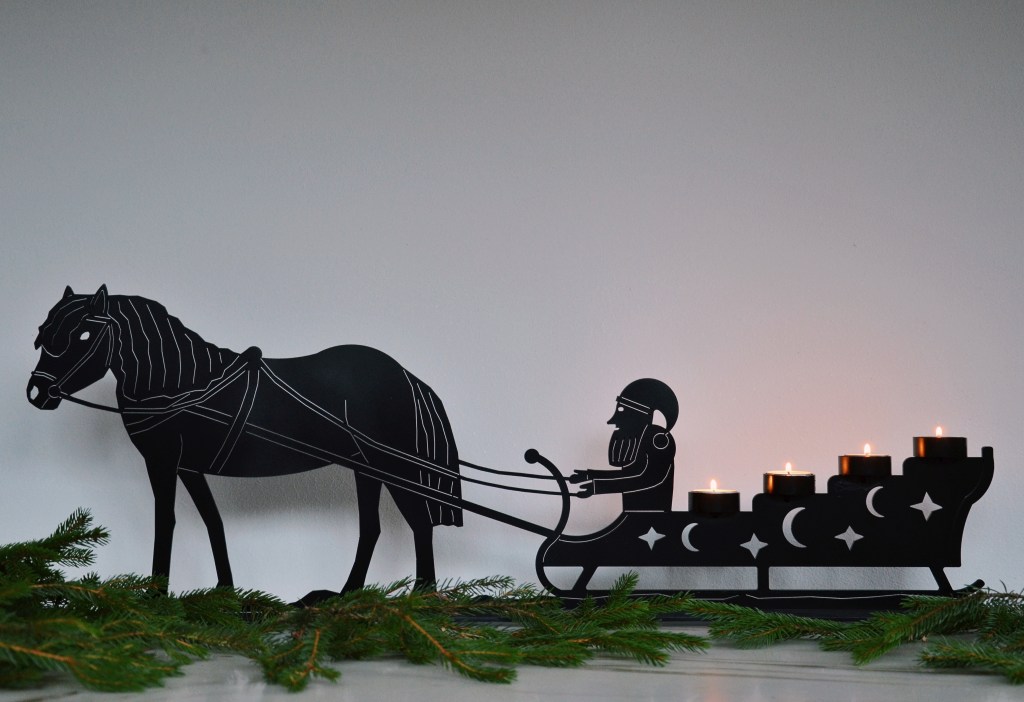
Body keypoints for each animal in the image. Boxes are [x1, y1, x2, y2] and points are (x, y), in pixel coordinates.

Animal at [27, 285, 462, 601]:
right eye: (43, 334)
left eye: (84, 334)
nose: (37, 393)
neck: (182, 385)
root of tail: (405, 376)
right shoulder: (190, 466)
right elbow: (212, 521)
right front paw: (226, 591)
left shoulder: (163, 462)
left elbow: (164, 521)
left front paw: (155, 597)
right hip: (365, 467)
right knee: (373, 527)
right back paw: (346, 596)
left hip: (393, 465)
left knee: (419, 523)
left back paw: (421, 599)